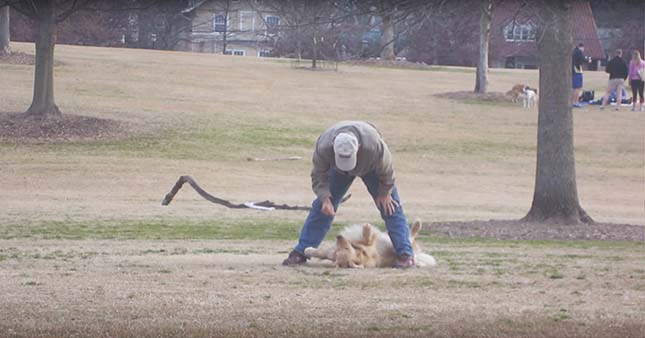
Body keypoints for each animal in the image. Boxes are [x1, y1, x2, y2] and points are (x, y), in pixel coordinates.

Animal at [304, 220, 436, 268]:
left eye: (346, 247)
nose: (339, 236)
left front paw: (308, 249)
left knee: (408, 237)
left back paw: (417, 224)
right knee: (409, 237)